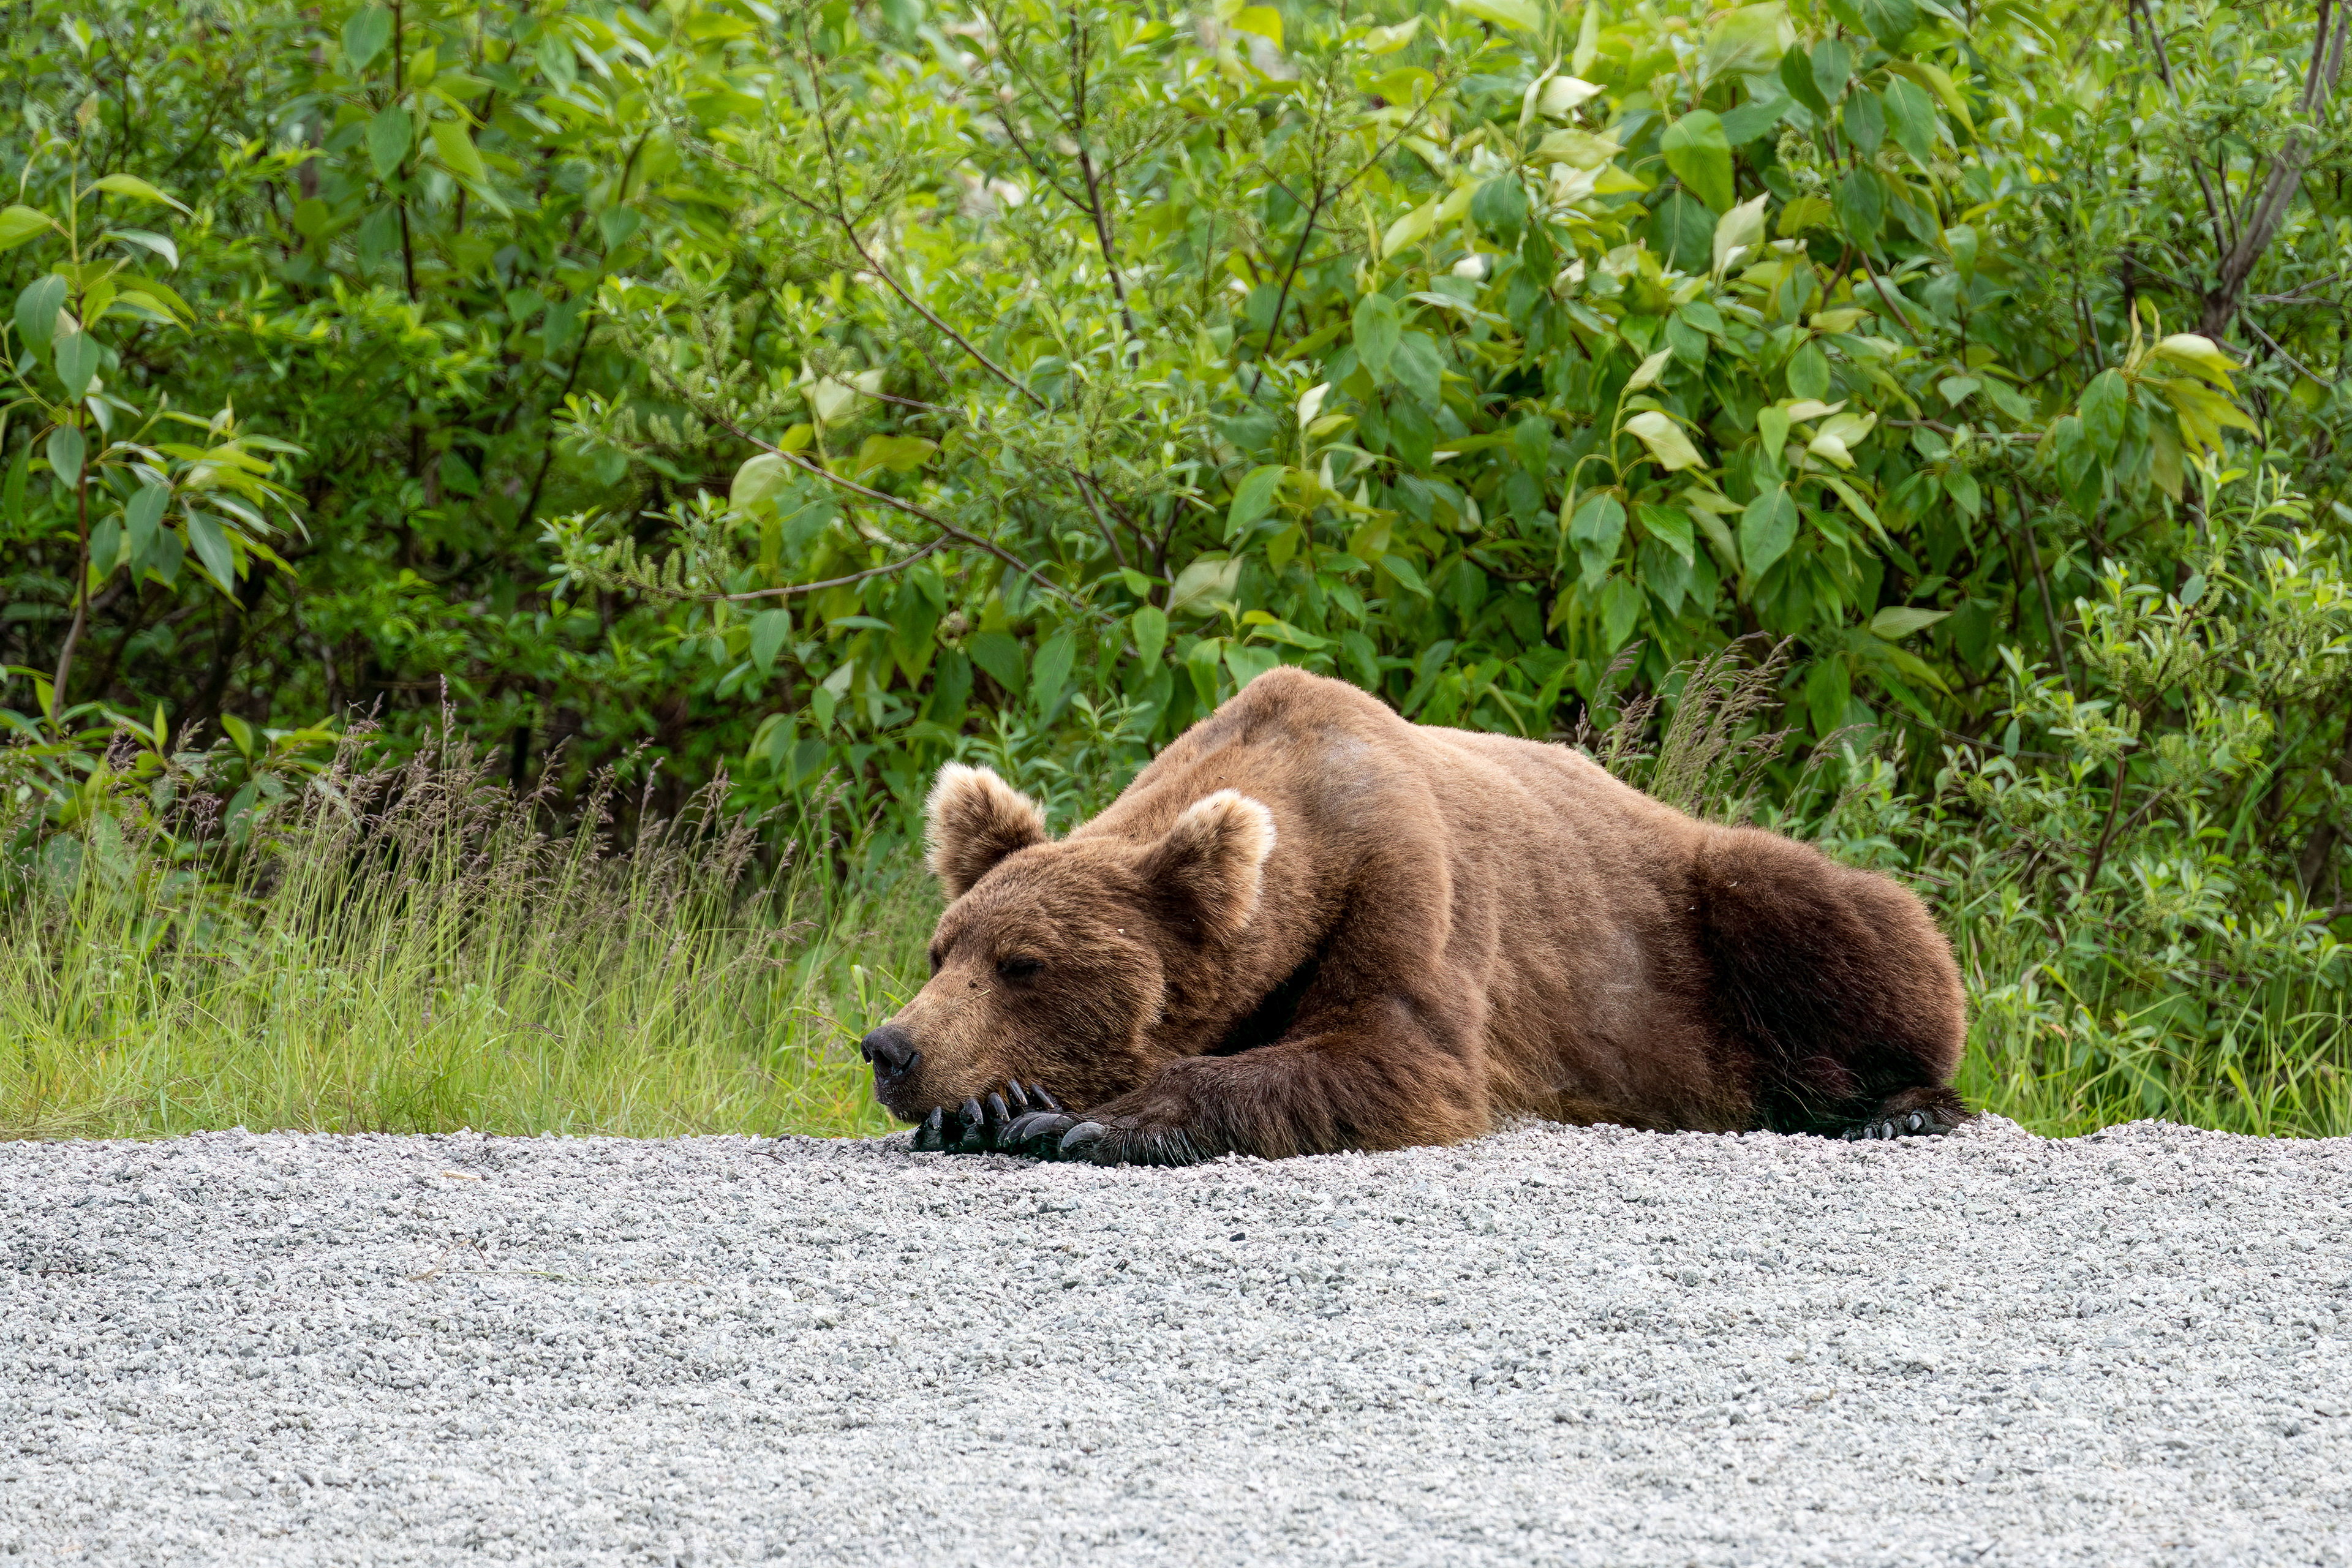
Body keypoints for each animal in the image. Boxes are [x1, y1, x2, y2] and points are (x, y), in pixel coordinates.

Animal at [858, 664, 1969, 1164]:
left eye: (1026, 964)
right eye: (942, 950)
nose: (891, 1048)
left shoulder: (1403, 882)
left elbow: (1390, 1054)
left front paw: (1085, 1118)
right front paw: (987, 1107)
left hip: (1700, 907)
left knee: (1825, 911)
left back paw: (1900, 1102)